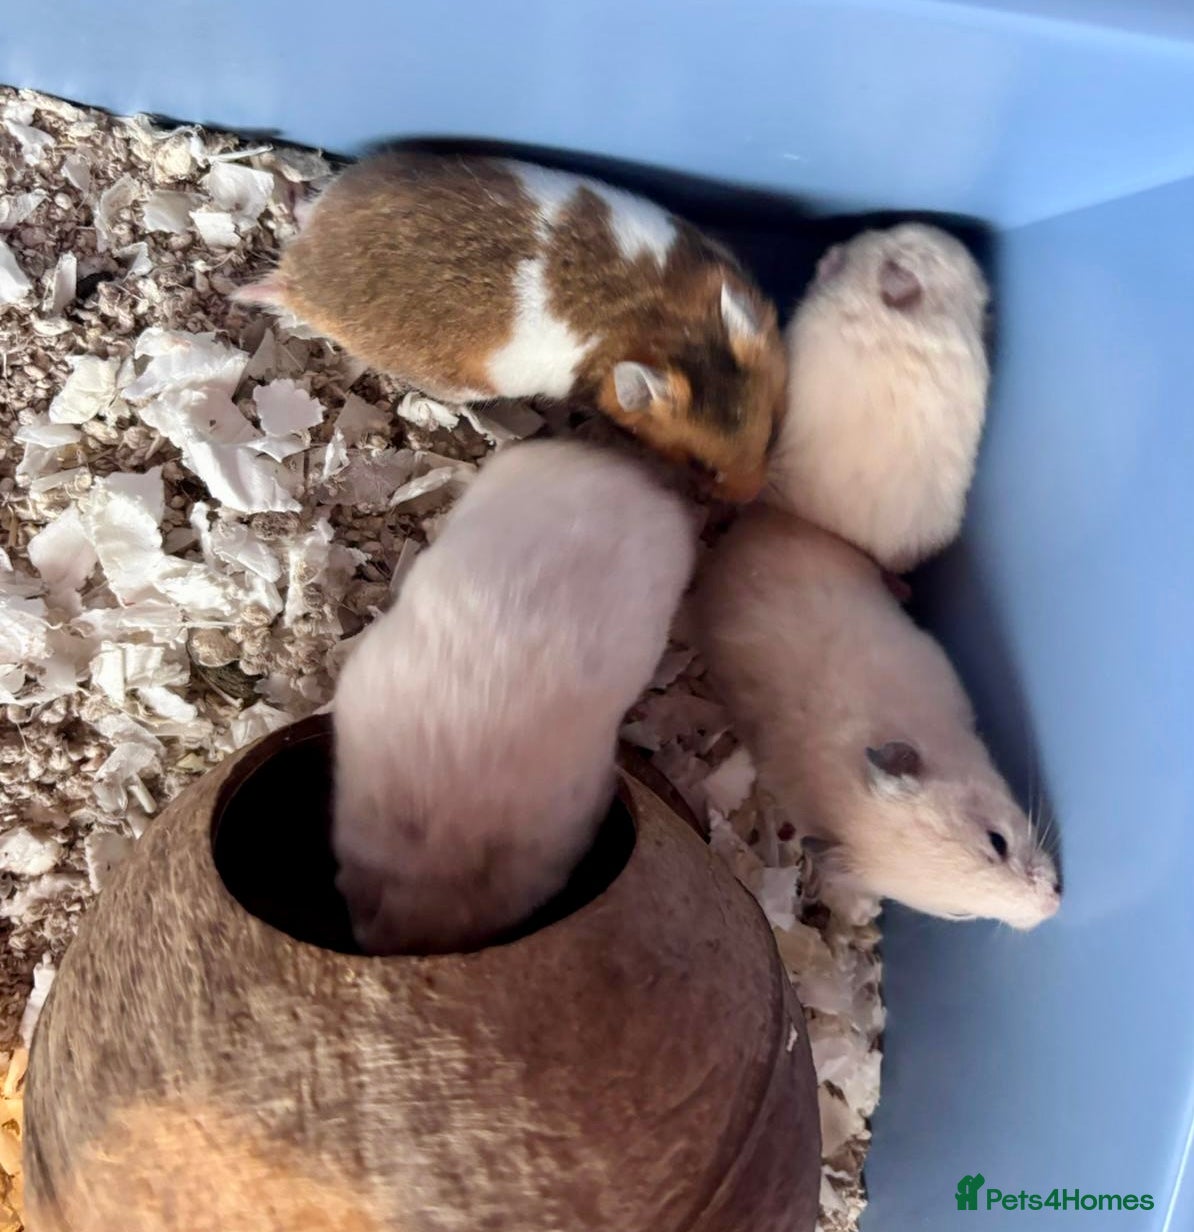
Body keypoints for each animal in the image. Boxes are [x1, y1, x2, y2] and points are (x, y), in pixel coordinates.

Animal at [234, 151, 786, 502]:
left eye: (771, 435)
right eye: (699, 466)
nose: (748, 498)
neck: (661, 328)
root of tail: (298, 270)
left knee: (307, 206)